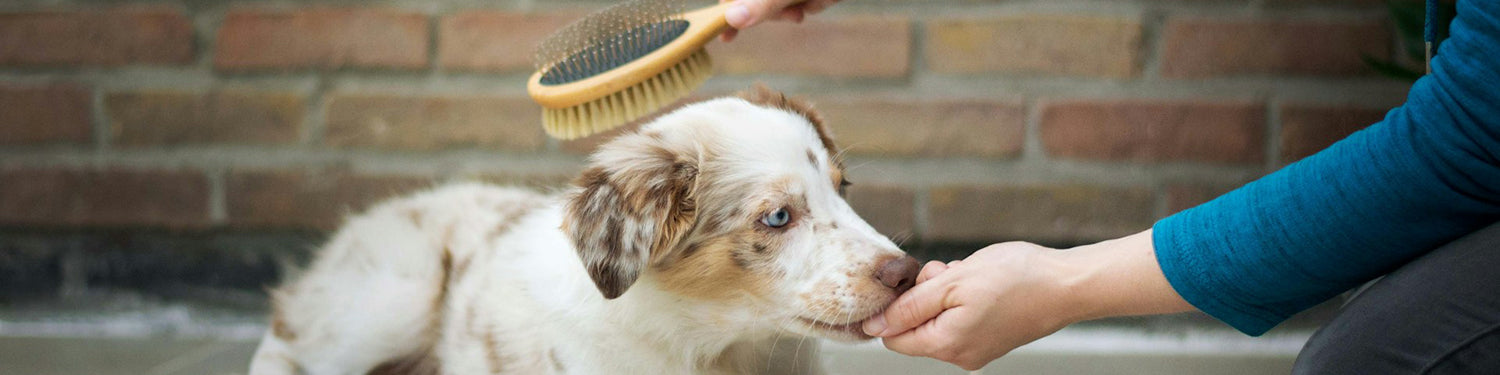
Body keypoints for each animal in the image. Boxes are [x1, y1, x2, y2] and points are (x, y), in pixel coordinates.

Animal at [246, 86, 918, 375]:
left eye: (842, 189)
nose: (907, 274)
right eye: (778, 217)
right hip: (390, 301)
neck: (716, 349)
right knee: (283, 338)